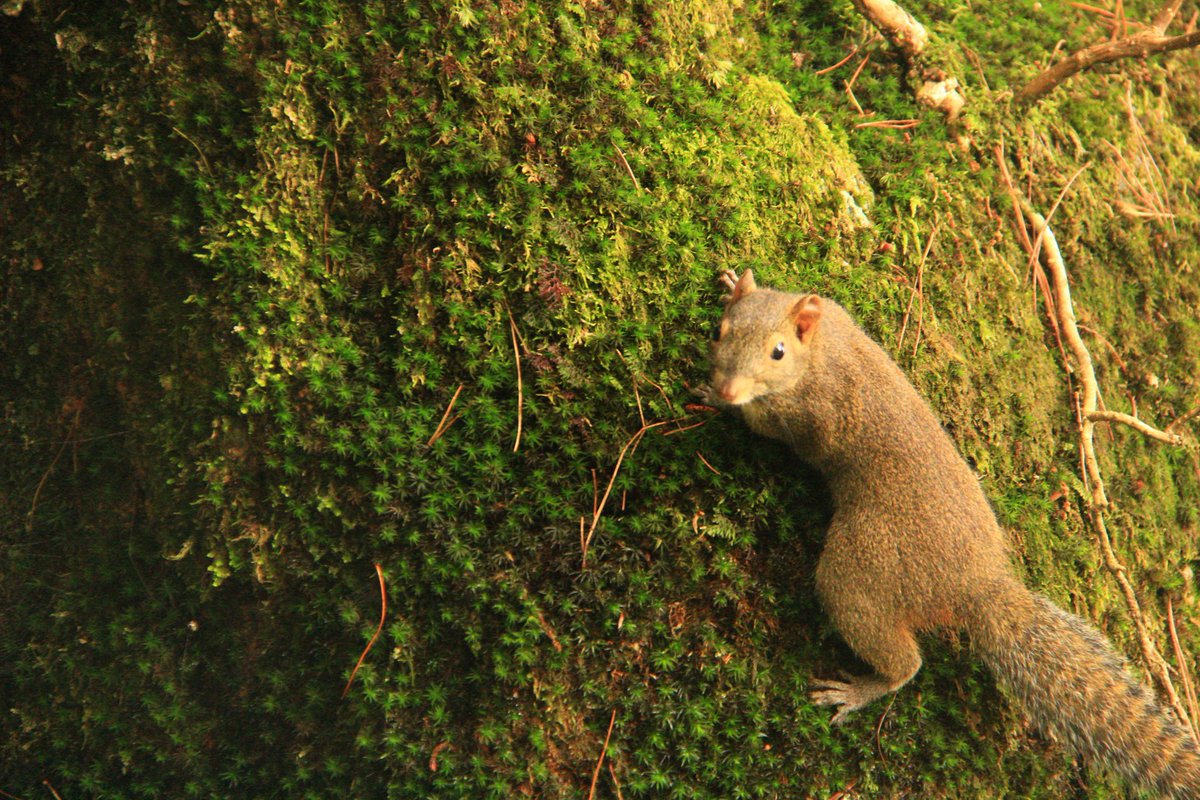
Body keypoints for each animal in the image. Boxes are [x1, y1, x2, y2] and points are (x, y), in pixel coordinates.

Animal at [705, 268, 1200, 797]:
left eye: (777, 352)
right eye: (720, 330)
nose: (728, 388)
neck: (821, 352)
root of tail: (976, 583)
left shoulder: (812, 418)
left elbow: (778, 432)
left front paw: (717, 401)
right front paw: (733, 282)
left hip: (862, 567)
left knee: (901, 658)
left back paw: (859, 690)